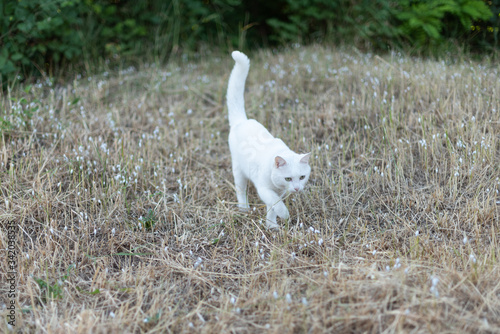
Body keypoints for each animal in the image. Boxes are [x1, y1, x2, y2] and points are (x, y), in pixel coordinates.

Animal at [226, 51, 310, 230]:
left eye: (302, 177)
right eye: (288, 178)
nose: (297, 188)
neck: (277, 186)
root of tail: (242, 121)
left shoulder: (279, 191)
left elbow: (272, 208)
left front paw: (271, 226)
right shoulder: (264, 189)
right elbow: (276, 203)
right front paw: (284, 215)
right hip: (238, 171)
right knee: (240, 190)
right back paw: (244, 208)